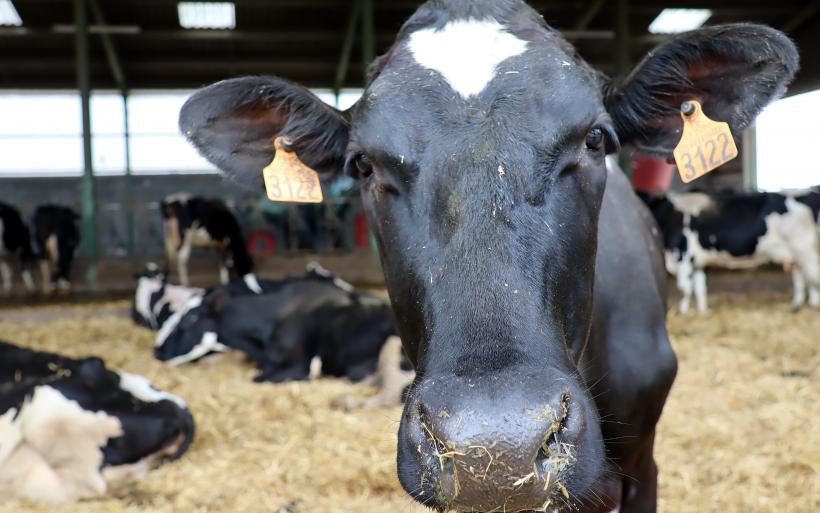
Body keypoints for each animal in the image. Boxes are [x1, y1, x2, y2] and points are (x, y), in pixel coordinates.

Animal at [640, 190, 820, 312]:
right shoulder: (696, 261)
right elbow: (699, 288)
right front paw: (703, 312)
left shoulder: (683, 256)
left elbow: (684, 289)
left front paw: (682, 312)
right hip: (795, 254)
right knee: (801, 278)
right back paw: (797, 306)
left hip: (805, 250)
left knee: (812, 276)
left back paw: (814, 306)